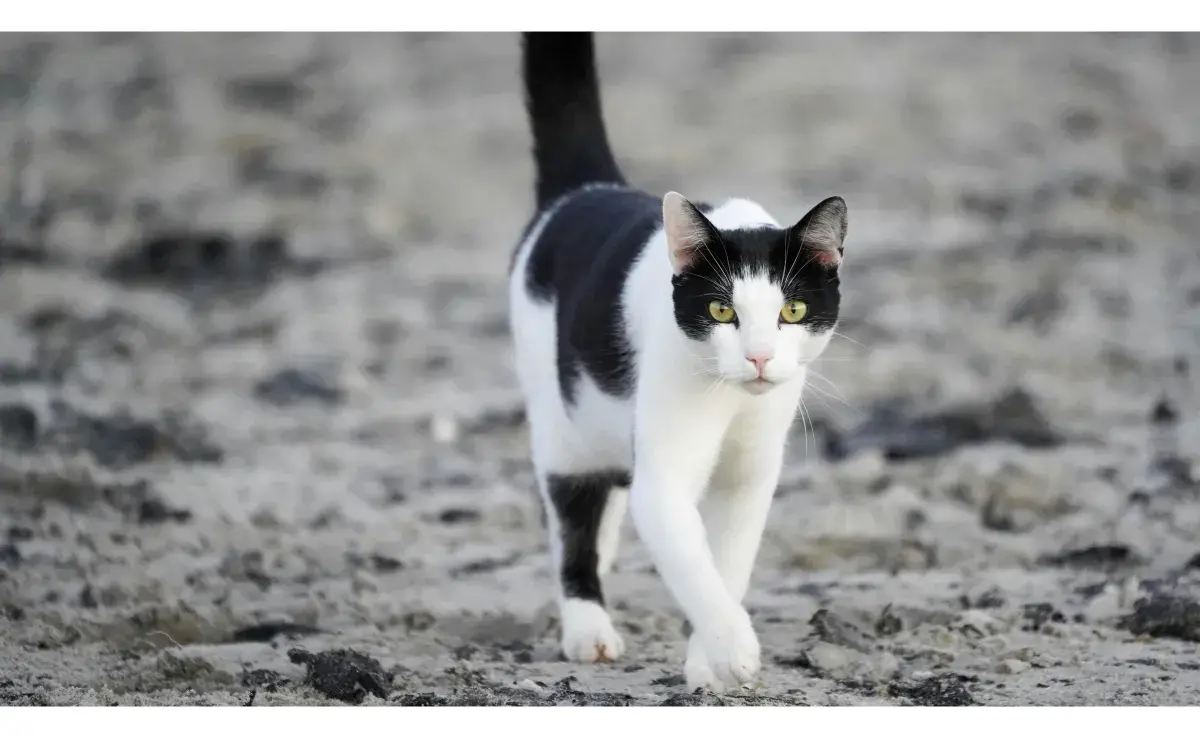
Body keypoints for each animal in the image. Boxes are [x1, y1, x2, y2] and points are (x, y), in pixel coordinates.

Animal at [511, 33, 849, 691]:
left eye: (793, 310)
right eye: (721, 310)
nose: (760, 357)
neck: (733, 403)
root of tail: (584, 190)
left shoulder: (750, 474)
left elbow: (728, 562)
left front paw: (705, 662)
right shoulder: (665, 477)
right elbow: (692, 562)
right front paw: (734, 647)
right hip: (560, 422)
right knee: (572, 518)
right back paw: (588, 628)